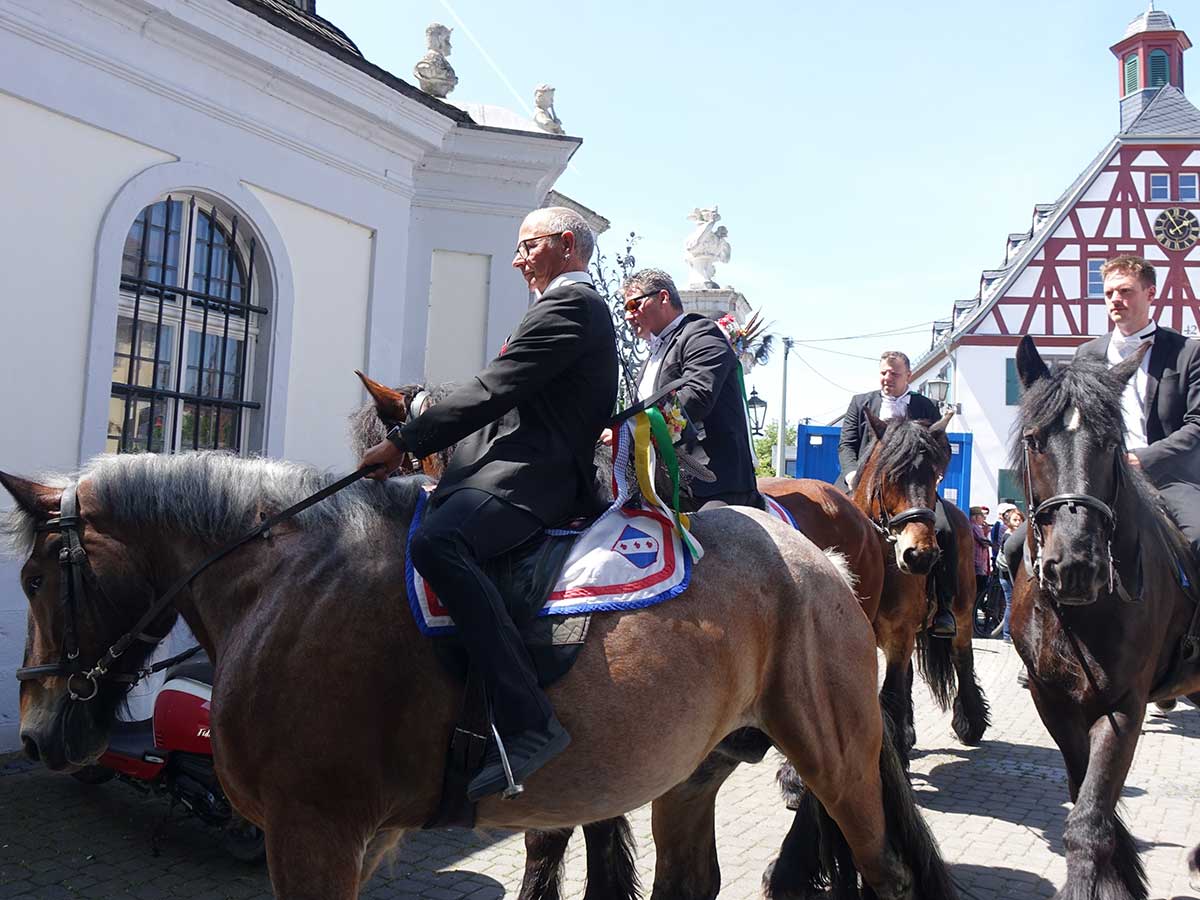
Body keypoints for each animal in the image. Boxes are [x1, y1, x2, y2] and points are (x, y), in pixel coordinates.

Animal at [1012, 336, 1200, 900]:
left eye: (1113, 442)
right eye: (1034, 440)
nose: (1076, 566)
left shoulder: (1124, 705)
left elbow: (1089, 821)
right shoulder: (1053, 699)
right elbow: (1085, 797)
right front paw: (1122, 875)